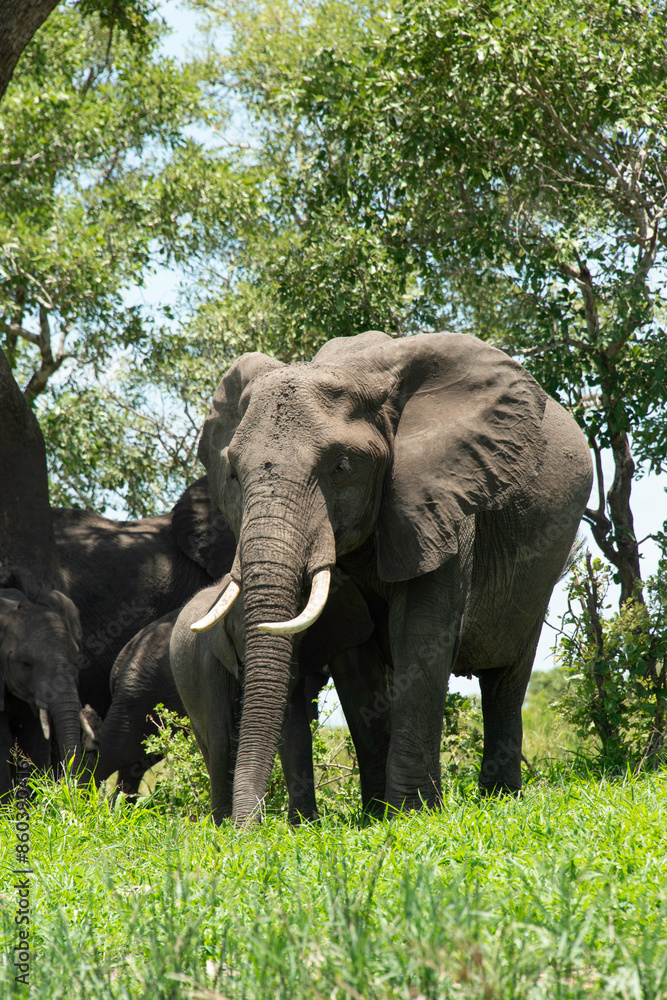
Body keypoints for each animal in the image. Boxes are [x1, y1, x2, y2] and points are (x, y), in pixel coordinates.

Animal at [171, 572, 390, 822]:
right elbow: (224, 735)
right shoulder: (211, 661)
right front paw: (224, 824)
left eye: (299, 637)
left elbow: (294, 731)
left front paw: (303, 824)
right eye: (241, 636)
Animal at [194, 330, 593, 823]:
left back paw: (500, 799)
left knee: (505, 678)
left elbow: (421, 634)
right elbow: (357, 660)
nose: (244, 830)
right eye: (233, 472)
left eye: (342, 467)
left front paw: (412, 813)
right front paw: (377, 815)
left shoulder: (443, 497)